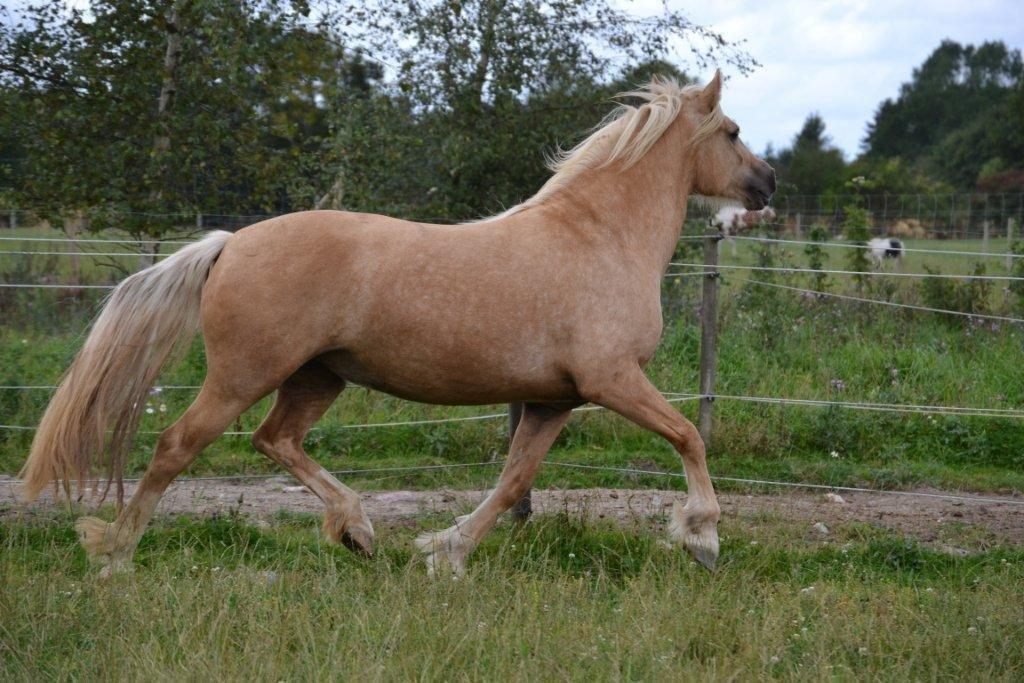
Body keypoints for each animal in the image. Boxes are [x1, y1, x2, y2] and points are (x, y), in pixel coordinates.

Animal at [19, 72, 774, 577]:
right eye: (733, 132)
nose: (769, 186)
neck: (599, 236)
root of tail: (229, 243)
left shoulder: (553, 399)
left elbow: (513, 481)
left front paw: (446, 551)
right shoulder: (611, 379)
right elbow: (687, 435)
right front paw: (703, 537)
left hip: (317, 376)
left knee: (276, 439)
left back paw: (357, 530)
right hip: (244, 373)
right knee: (179, 445)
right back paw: (115, 553)